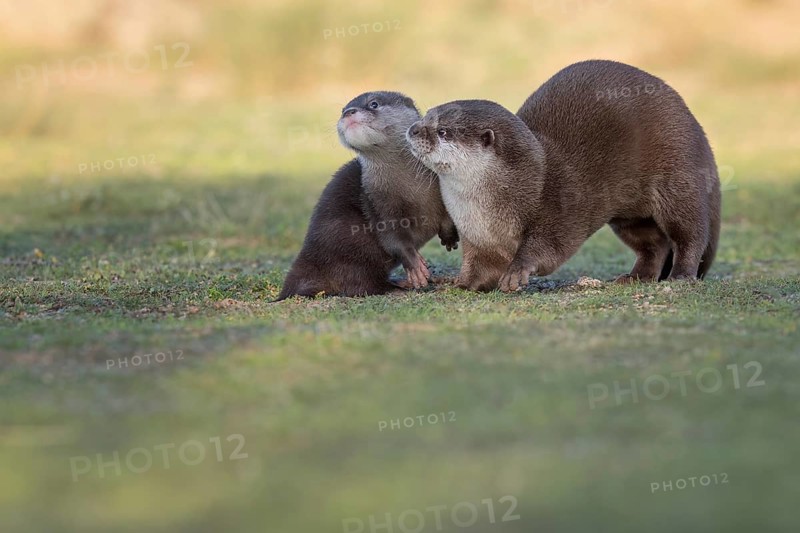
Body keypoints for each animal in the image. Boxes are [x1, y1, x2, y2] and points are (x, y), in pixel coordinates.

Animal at [275, 91, 458, 300]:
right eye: (342, 110)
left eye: (373, 104)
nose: (348, 112)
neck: (410, 187)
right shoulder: (376, 202)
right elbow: (392, 238)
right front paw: (415, 266)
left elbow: (447, 213)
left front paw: (449, 236)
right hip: (348, 242)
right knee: (360, 284)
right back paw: (400, 287)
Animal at [407, 60, 721, 292]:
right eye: (426, 116)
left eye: (443, 131)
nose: (412, 128)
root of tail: (696, 126)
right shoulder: (477, 238)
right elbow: (477, 269)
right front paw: (457, 283)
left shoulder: (558, 208)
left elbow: (547, 248)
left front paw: (517, 270)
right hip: (629, 216)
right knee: (653, 243)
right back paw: (634, 277)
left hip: (678, 176)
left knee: (690, 232)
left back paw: (681, 275)